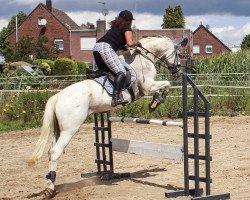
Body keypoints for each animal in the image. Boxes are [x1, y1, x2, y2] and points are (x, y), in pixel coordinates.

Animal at [27, 36, 188, 198]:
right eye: (179, 54)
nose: (178, 72)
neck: (144, 57)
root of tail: (57, 96)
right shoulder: (148, 86)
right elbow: (166, 84)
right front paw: (157, 102)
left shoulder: (147, 88)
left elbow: (161, 88)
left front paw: (154, 102)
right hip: (69, 130)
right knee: (55, 152)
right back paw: (50, 189)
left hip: (57, 130)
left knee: (51, 152)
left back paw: (50, 185)